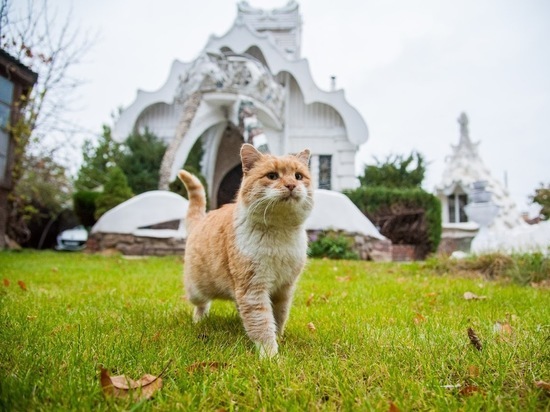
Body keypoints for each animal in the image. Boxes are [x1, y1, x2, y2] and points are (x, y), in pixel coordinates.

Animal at [178, 144, 314, 358]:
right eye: (272, 176)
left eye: (298, 176)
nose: (291, 185)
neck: (279, 234)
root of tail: (200, 220)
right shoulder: (253, 289)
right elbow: (262, 323)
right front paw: (270, 356)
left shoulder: (284, 289)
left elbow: (279, 317)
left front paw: (279, 338)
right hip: (196, 290)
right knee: (201, 305)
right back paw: (199, 321)